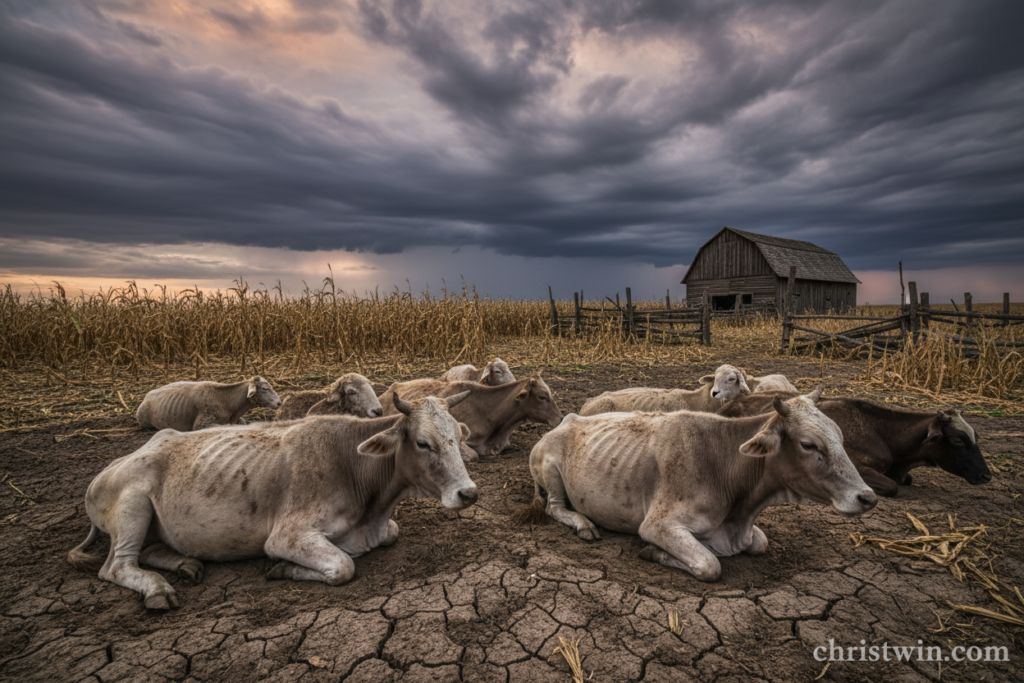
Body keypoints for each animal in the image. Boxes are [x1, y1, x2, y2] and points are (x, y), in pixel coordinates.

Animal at [68, 392, 477, 609]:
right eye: (423, 443)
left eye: (459, 435)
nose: (468, 493)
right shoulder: (287, 535)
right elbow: (343, 566)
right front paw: (281, 569)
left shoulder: (382, 527)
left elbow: (388, 534)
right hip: (133, 506)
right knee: (116, 566)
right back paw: (158, 589)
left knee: (150, 550)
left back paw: (186, 564)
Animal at [524, 388, 877, 581]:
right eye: (808, 444)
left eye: (840, 435)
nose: (868, 498)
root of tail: (566, 420)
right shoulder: (658, 525)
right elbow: (710, 564)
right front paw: (653, 552)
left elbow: (760, 543)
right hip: (551, 471)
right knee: (555, 508)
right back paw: (584, 524)